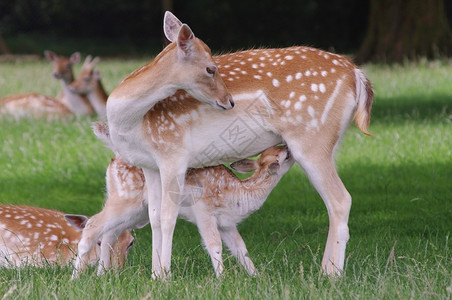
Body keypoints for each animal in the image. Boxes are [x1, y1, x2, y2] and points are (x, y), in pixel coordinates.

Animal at [71, 122, 294, 278]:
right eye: (281, 154)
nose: (288, 147)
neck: (238, 195)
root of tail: (114, 158)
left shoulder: (227, 223)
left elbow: (241, 249)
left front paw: (257, 277)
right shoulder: (204, 211)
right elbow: (214, 245)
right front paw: (222, 279)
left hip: (136, 210)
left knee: (109, 233)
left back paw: (101, 275)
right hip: (126, 197)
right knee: (93, 224)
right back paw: (76, 278)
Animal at [106, 11, 374, 278]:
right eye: (211, 68)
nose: (229, 101)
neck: (134, 124)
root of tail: (356, 74)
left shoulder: (174, 154)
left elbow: (167, 216)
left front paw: (165, 276)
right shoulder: (149, 164)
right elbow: (154, 219)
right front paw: (155, 275)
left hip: (311, 139)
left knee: (340, 199)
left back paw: (332, 275)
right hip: (329, 143)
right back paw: (325, 271)